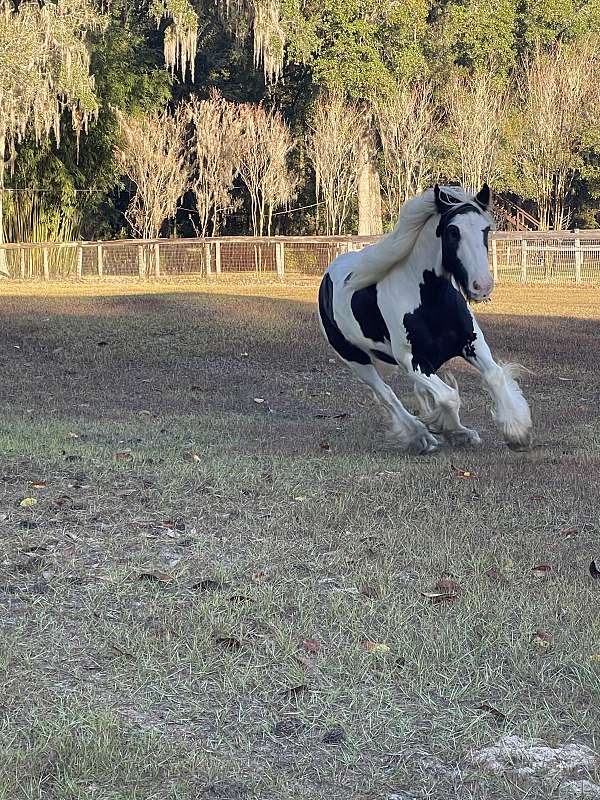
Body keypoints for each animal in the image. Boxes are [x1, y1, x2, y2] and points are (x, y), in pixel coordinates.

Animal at [322, 184, 532, 454]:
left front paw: (517, 433)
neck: (430, 299)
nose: (482, 286)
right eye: (453, 231)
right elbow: (448, 397)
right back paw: (421, 437)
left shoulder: (472, 344)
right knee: (386, 395)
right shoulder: (411, 360)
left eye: (485, 229)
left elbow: (494, 376)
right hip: (356, 360)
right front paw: (455, 432)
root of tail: (330, 273)